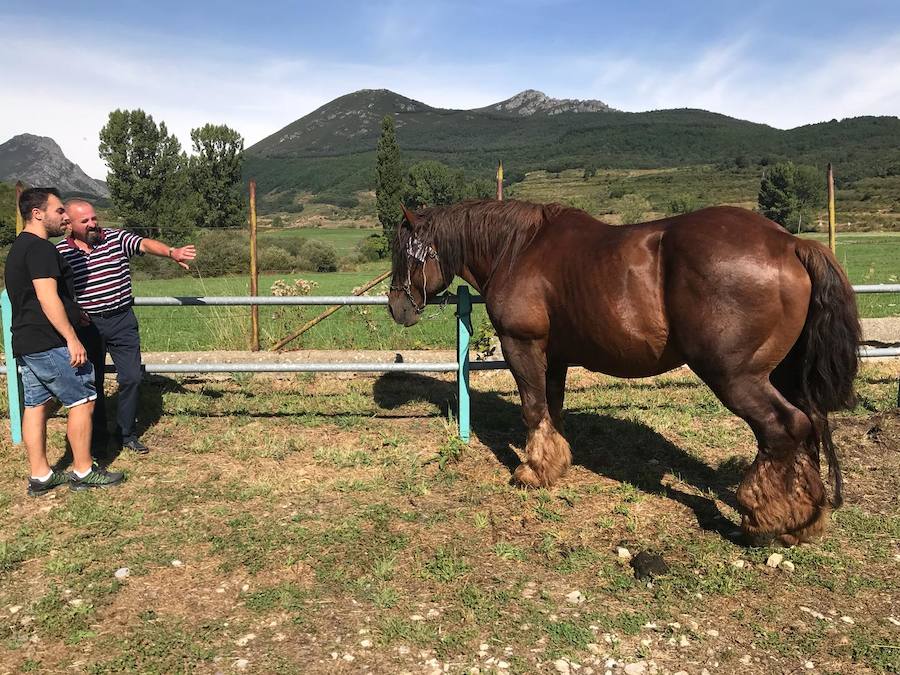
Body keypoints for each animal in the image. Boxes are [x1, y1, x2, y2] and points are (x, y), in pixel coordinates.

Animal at [384, 198, 856, 548]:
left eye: (403, 252)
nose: (396, 307)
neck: (519, 249)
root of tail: (789, 243)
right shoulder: (556, 356)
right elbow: (552, 409)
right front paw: (554, 463)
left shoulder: (523, 345)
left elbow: (533, 408)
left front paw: (530, 472)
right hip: (783, 375)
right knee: (810, 426)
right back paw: (804, 517)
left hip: (737, 377)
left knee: (784, 428)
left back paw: (763, 517)